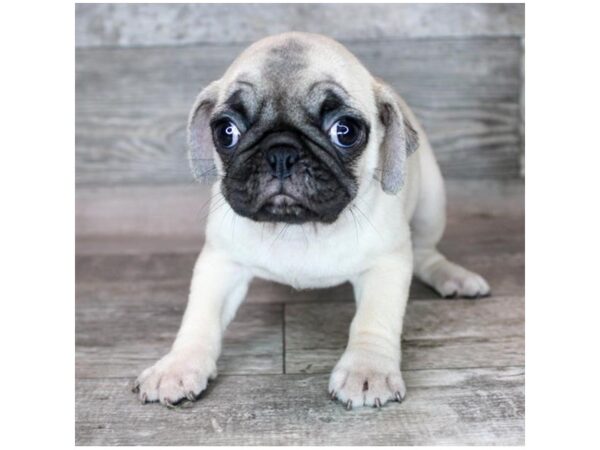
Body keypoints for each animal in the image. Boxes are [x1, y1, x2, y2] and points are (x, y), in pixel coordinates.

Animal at [131, 33, 488, 410]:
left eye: (345, 131)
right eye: (226, 131)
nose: (280, 153)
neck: (300, 229)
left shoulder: (386, 265)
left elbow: (374, 319)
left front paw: (367, 370)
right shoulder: (221, 263)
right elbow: (201, 317)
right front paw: (178, 365)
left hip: (433, 202)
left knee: (425, 253)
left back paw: (453, 276)